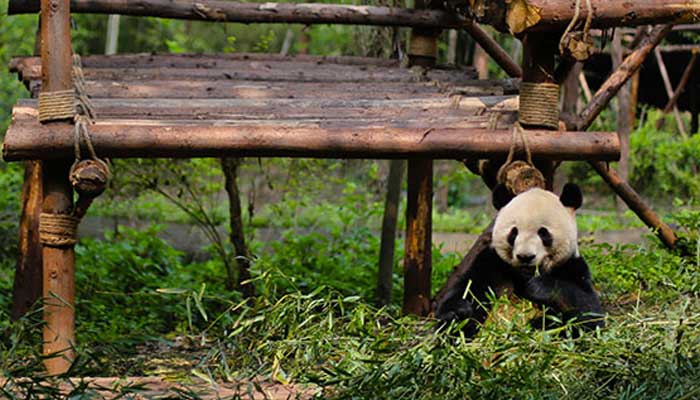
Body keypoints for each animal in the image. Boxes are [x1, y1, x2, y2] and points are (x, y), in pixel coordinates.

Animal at [434, 183, 604, 336]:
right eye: (514, 232)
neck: (524, 275)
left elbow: (589, 314)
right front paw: (458, 312)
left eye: (543, 233)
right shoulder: (491, 263)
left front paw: (539, 288)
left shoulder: (572, 266)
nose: (525, 256)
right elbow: (468, 289)